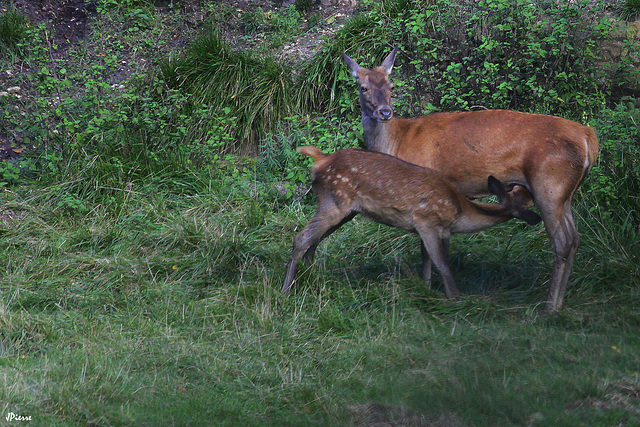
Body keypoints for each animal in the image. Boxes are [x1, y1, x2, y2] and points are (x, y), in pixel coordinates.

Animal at [284, 147, 540, 298]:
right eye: (528, 204)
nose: (538, 219)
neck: (459, 213)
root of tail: (321, 160)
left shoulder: (435, 231)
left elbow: (427, 263)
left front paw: (426, 290)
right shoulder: (427, 222)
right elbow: (442, 264)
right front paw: (455, 299)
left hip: (346, 211)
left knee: (315, 239)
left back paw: (313, 276)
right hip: (335, 202)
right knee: (302, 237)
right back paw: (287, 289)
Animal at [344, 46, 600, 312]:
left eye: (391, 85)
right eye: (363, 87)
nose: (385, 112)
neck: (397, 141)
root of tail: (589, 137)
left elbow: (427, 249)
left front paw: (428, 288)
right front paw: (430, 287)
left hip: (549, 184)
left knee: (562, 242)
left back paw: (549, 306)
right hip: (566, 193)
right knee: (575, 238)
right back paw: (558, 302)